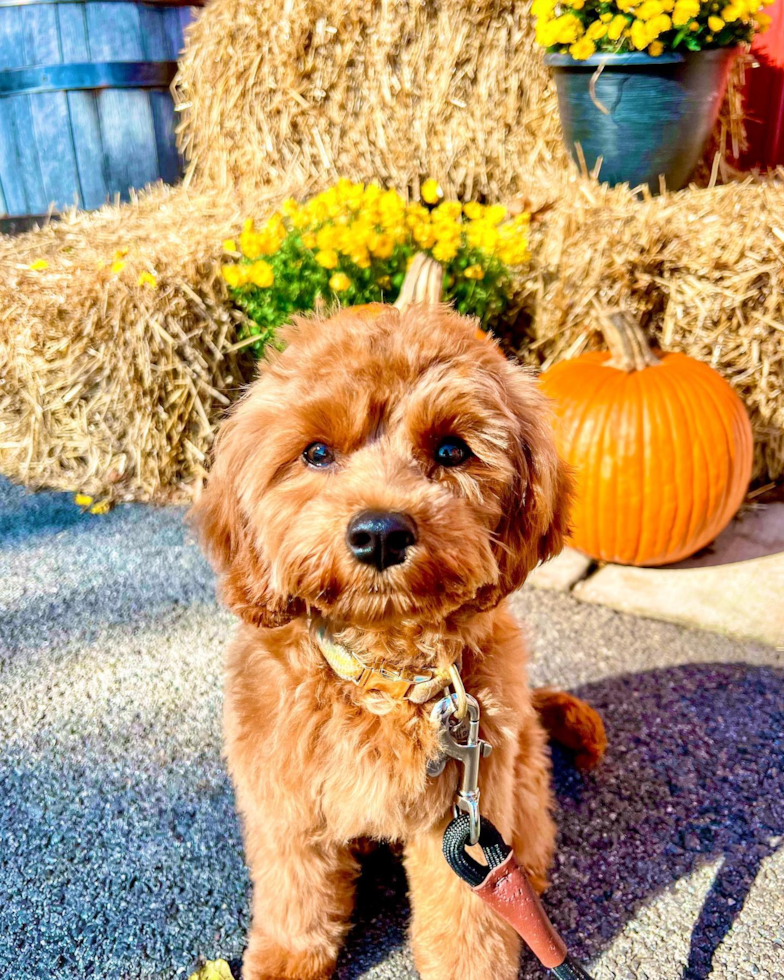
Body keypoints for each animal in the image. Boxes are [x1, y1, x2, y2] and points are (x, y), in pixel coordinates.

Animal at [191, 306, 608, 980]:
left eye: (451, 449)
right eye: (316, 452)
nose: (381, 533)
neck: (387, 678)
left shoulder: (466, 818)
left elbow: (468, 926)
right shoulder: (288, 800)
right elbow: (295, 895)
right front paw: (286, 960)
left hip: (517, 766)